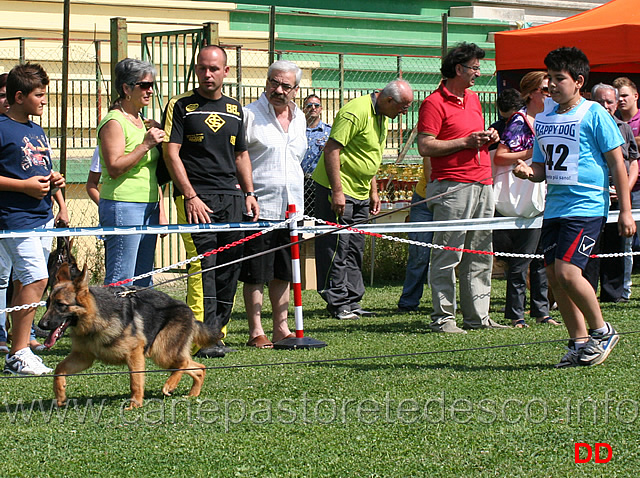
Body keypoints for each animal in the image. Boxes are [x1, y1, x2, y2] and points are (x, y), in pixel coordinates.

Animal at [40, 264, 221, 408]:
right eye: (47, 304)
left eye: (61, 305)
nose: (41, 325)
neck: (94, 318)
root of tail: (190, 312)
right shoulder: (83, 358)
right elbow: (59, 369)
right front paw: (60, 394)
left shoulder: (134, 354)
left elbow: (135, 381)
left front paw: (135, 404)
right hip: (165, 354)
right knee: (198, 367)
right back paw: (192, 394)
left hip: (161, 352)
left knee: (182, 363)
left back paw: (170, 384)